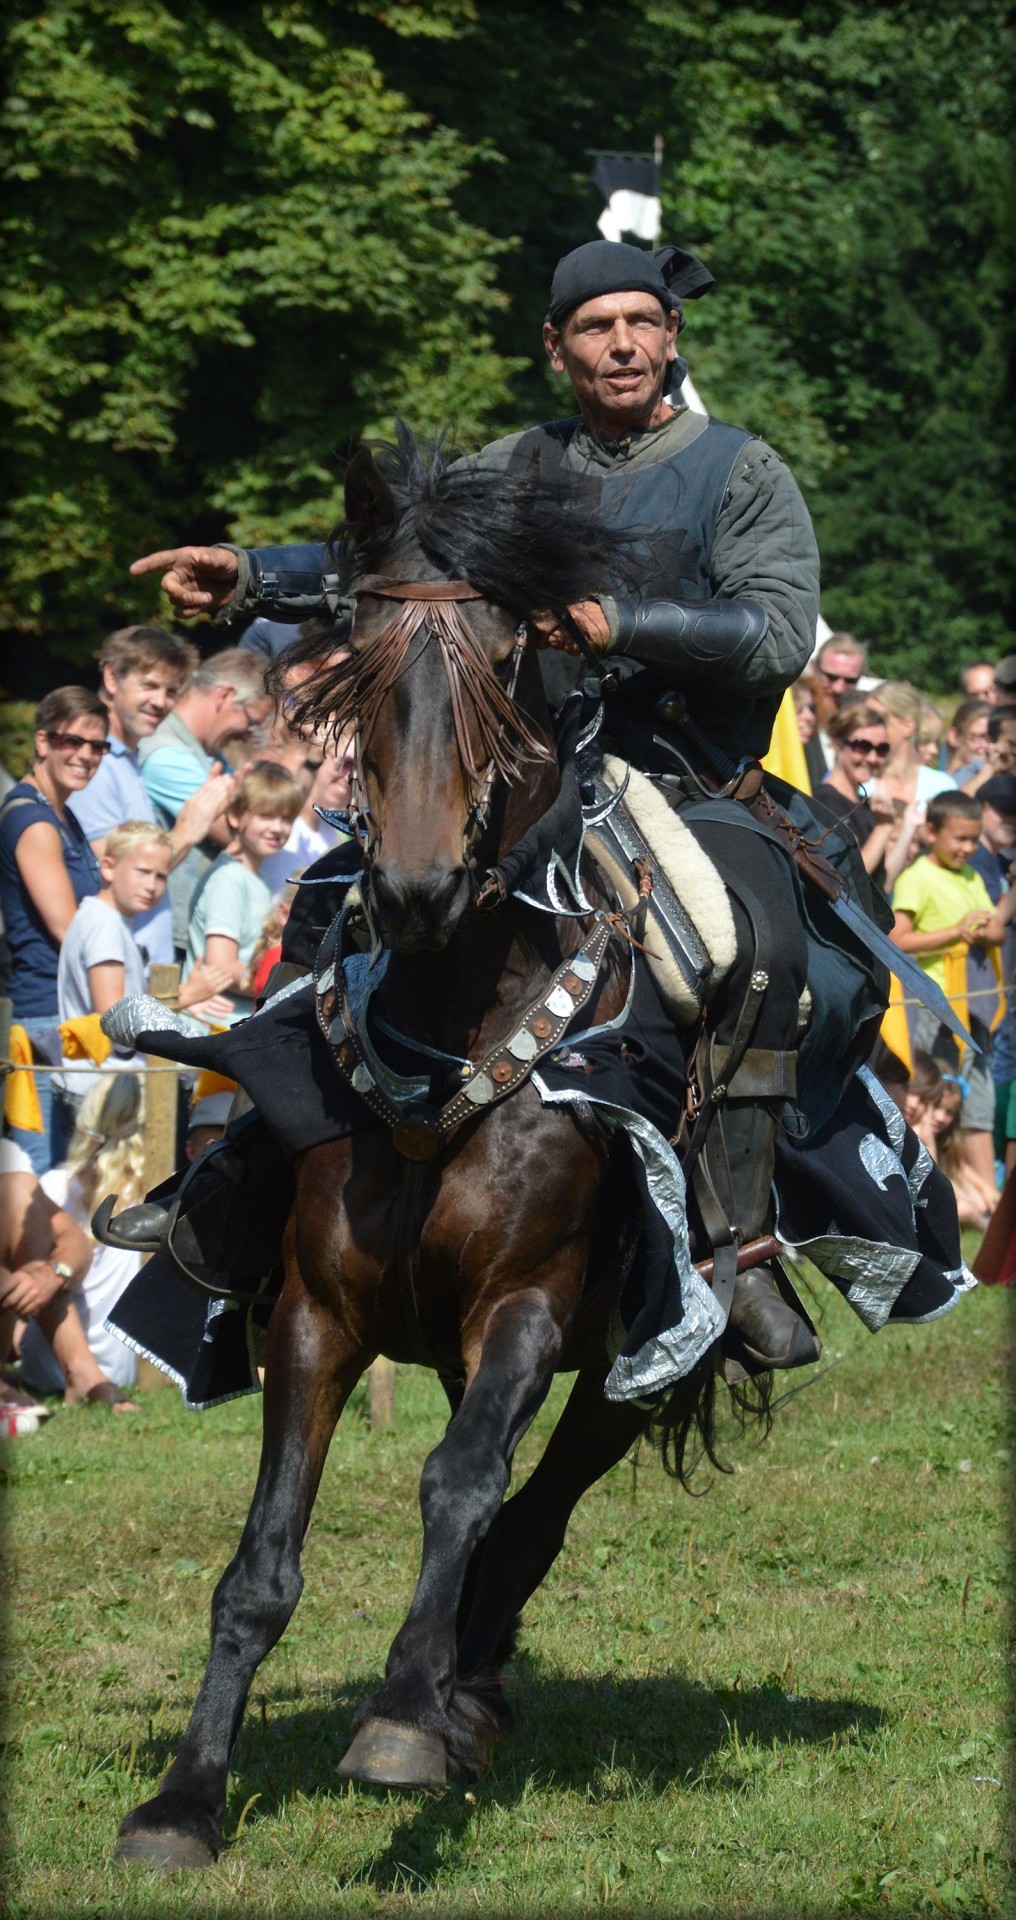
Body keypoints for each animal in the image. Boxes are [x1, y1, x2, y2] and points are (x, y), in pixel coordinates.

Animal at [114, 432, 756, 1858]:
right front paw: (186, 1796)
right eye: (355, 656)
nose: (411, 891)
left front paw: (405, 1716)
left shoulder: (526, 1304)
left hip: (629, 1362)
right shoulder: (318, 1315)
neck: (458, 1025)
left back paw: (457, 1691)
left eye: (505, 662)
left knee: (525, 1514)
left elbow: (460, 1485)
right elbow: (261, 1561)